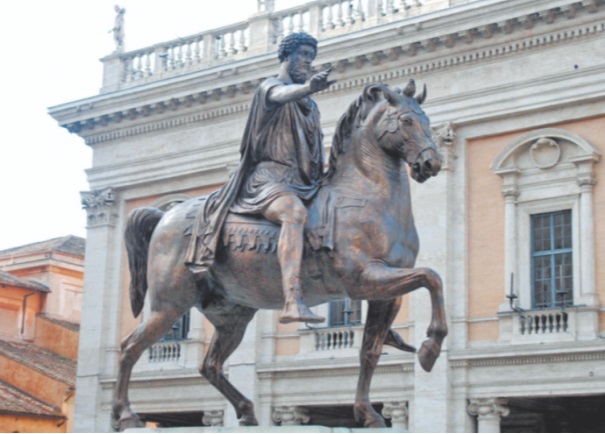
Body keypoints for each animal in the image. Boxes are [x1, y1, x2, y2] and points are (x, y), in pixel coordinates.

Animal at [111, 79, 446, 428]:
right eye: (406, 120)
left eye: (428, 121)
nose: (431, 164)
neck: (363, 194)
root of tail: (164, 217)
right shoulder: (363, 279)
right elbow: (432, 277)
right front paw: (430, 347)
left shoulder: (385, 295)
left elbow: (370, 350)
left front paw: (368, 413)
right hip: (169, 305)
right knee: (129, 348)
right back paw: (126, 414)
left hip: (232, 316)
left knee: (210, 365)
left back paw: (247, 411)